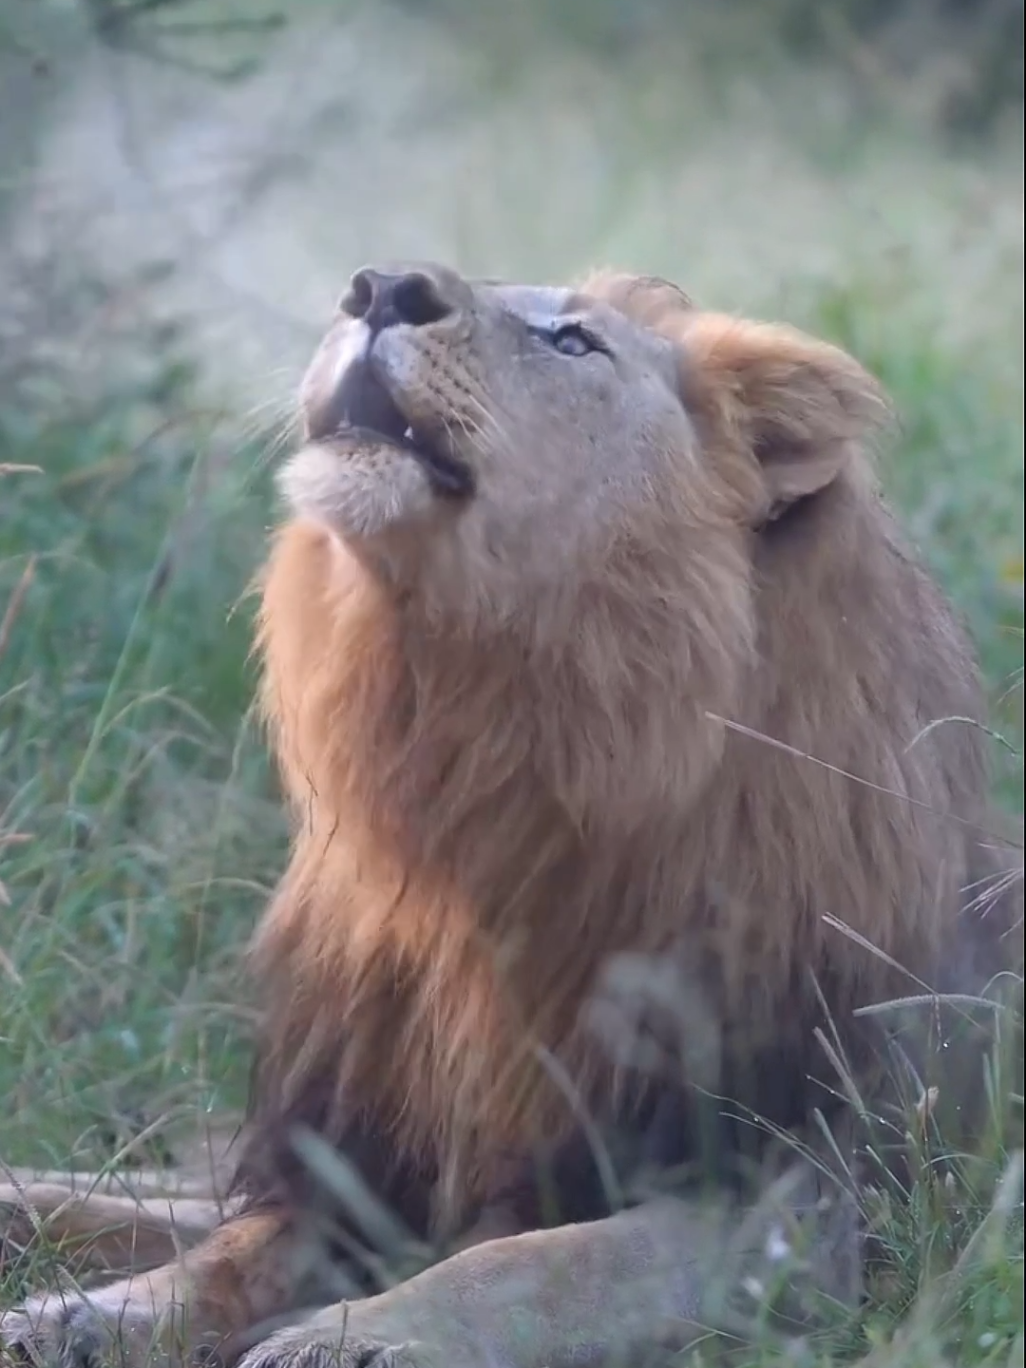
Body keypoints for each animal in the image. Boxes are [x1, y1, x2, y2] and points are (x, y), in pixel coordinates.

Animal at [2, 263, 1020, 1368]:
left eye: (575, 343)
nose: (382, 288)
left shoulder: (795, 1207)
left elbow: (530, 1266)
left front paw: (345, 1339)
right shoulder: (362, 1159)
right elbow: (217, 1256)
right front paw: (75, 1319)